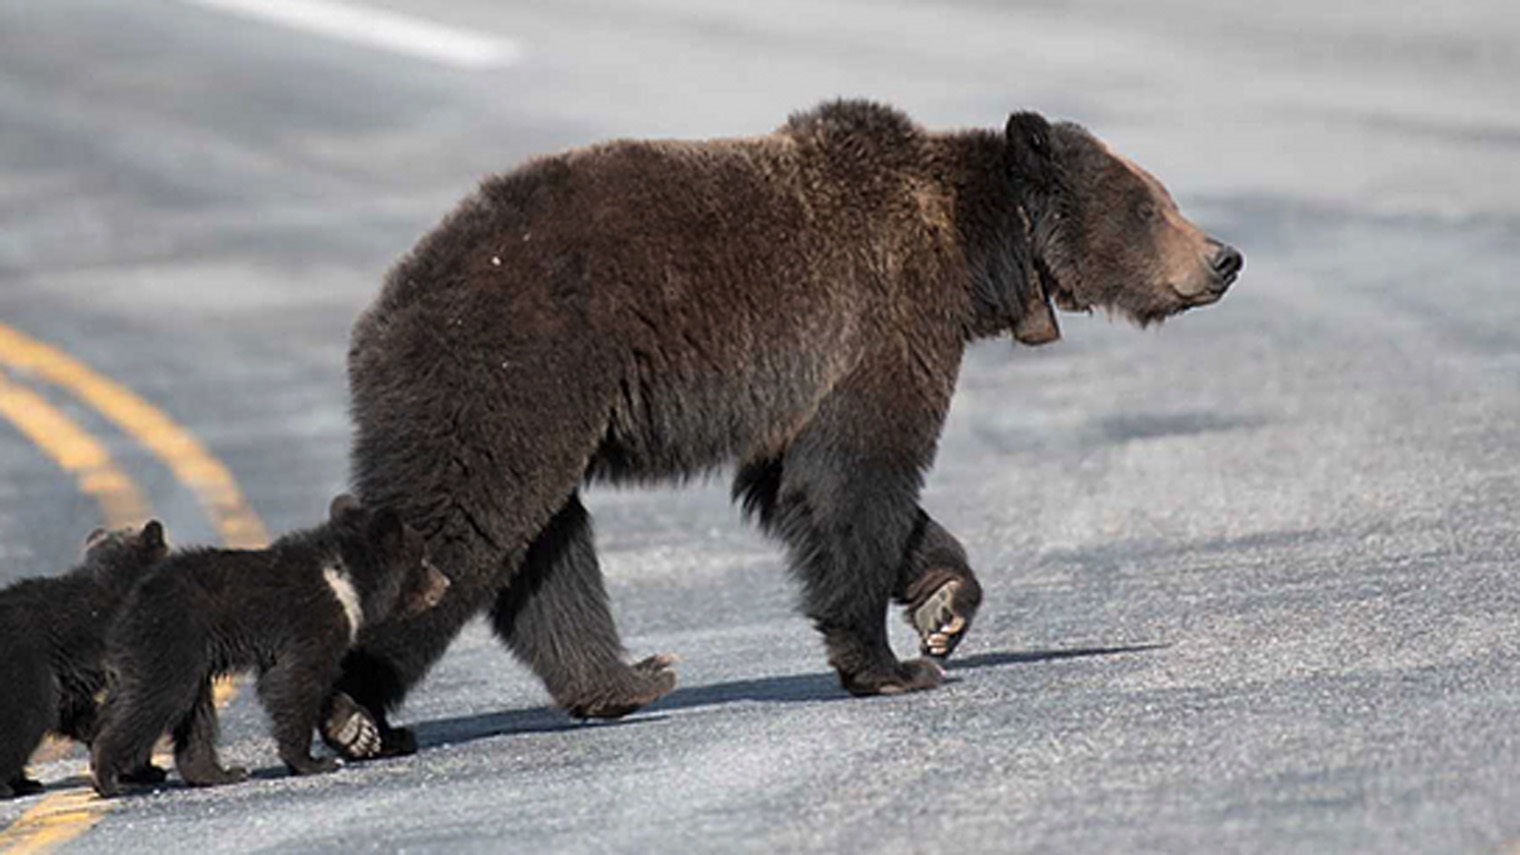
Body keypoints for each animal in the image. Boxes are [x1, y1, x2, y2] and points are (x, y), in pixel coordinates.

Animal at [0, 521, 169, 798]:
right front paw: (144, 768)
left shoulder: (69, 680)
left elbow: (83, 714)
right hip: (22, 669)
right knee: (23, 722)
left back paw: (25, 782)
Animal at [89, 495, 449, 796]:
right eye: (423, 559)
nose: (445, 583)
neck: (345, 581)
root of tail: (130, 603)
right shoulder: (313, 619)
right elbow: (296, 681)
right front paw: (313, 761)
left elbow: (298, 682)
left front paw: (357, 729)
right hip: (173, 639)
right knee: (160, 697)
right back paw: (107, 777)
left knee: (193, 713)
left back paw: (220, 773)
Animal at [322, 99, 1243, 758]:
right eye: (1150, 203)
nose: (1224, 256)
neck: (972, 253)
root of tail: (384, 306)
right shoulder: (879, 318)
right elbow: (855, 475)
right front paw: (891, 664)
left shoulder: (811, 378)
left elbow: (800, 480)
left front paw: (946, 601)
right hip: (516, 369)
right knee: (461, 522)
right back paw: (351, 713)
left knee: (548, 545)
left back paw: (627, 678)